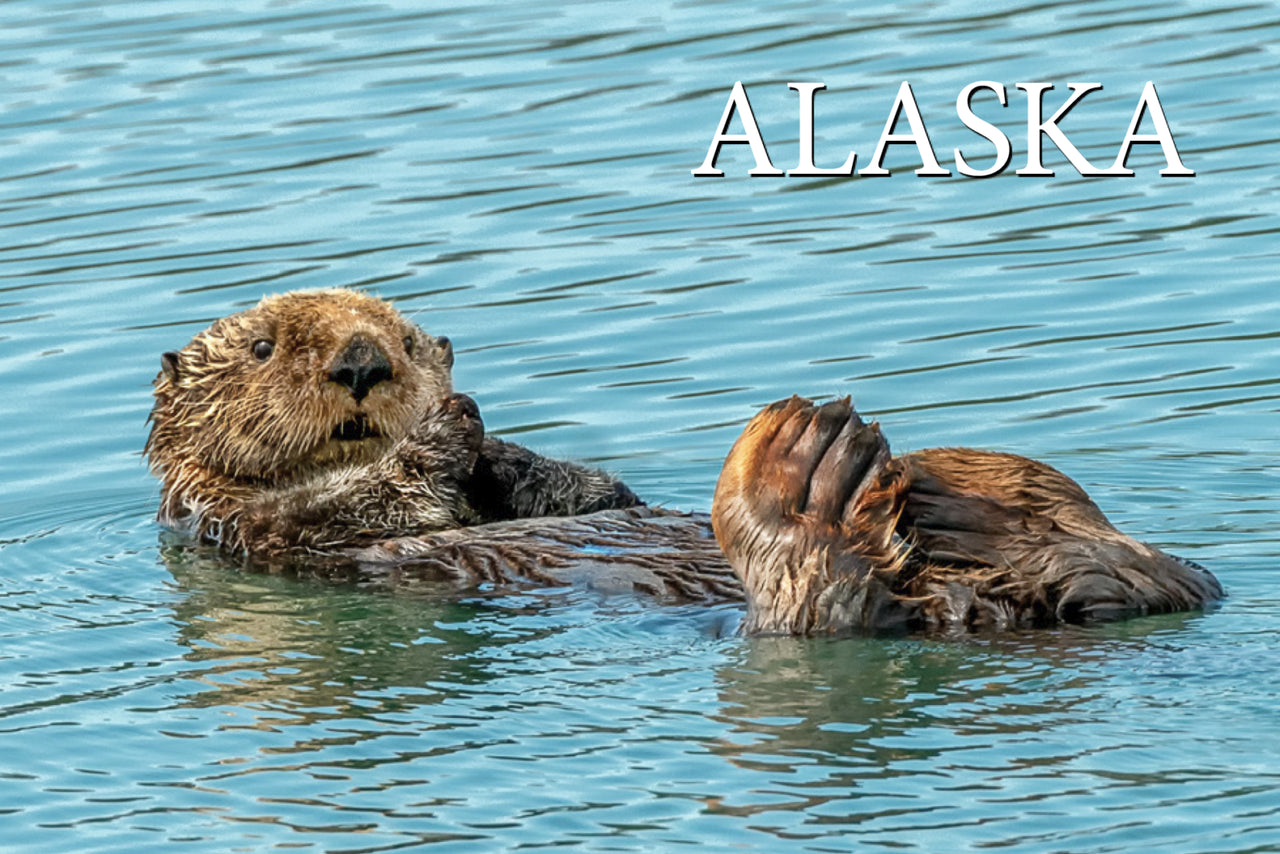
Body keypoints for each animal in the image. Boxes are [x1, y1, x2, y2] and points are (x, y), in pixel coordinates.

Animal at [146, 290, 1222, 632]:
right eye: (262, 348)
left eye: (407, 342)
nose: (363, 363)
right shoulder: (249, 523)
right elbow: (365, 500)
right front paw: (448, 431)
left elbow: (580, 488)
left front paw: (490, 438)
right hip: (841, 597)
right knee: (828, 600)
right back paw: (805, 467)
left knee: (1160, 574)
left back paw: (945, 489)